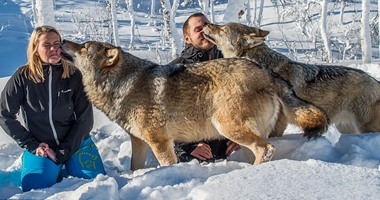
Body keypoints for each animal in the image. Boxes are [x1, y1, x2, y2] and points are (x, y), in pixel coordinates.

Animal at [60, 39, 328, 170]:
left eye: (83, 46)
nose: (63, 40)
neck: (122, 83)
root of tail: (266, 72)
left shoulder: (160, 142)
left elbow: (167, 165)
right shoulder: (139, 142)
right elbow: (134, 168)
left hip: (228, 127)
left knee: (266, 149)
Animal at [205, 21, 380, 135]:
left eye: (223, 29)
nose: (206, 23)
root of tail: (375, 81)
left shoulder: (279, 123)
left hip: (365, 127)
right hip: (347, 128)